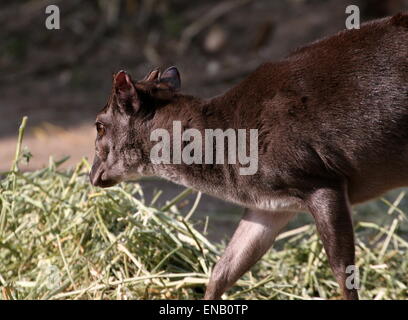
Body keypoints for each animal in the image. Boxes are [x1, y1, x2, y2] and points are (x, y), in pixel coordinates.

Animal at [91, 13, 408, 300]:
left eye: (99, 125)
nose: (92, 175)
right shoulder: (271, 205)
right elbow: (225, 268)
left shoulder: (320, 178)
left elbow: (344, 273)